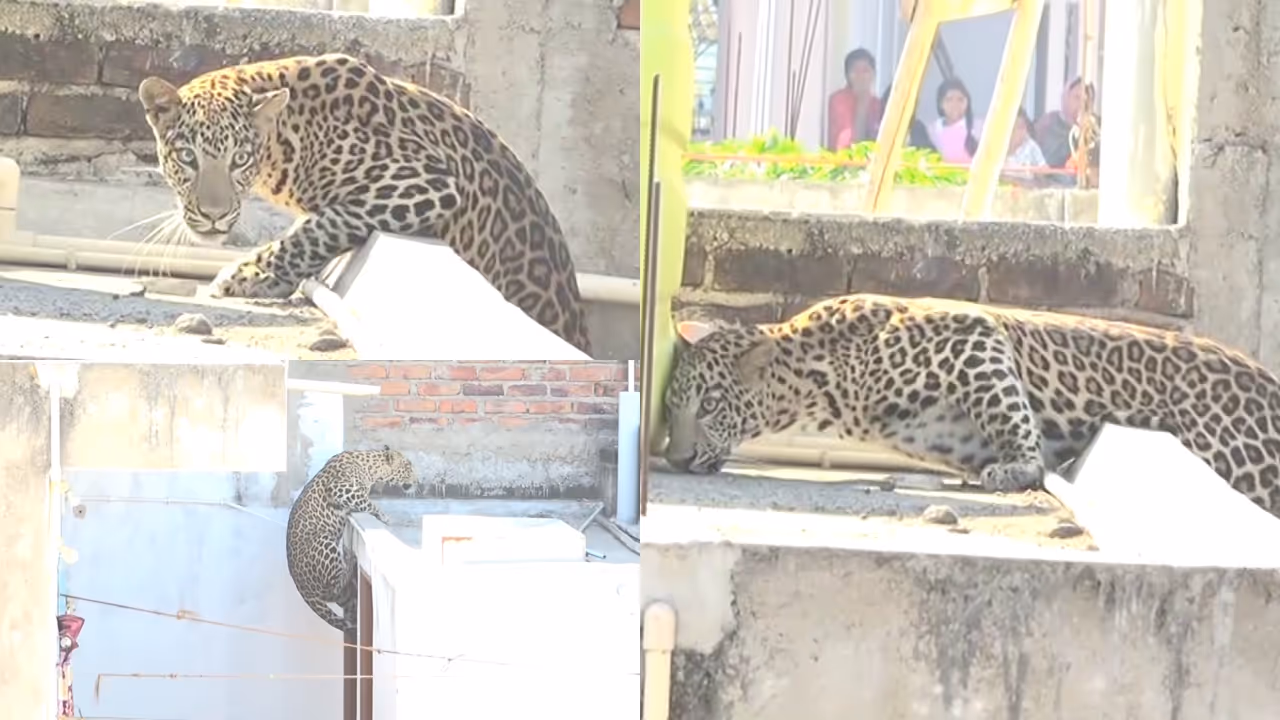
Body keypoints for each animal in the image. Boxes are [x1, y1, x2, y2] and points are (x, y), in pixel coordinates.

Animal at [136, 53, 592, 356]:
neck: (289, 137)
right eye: (187, 157)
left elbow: (322, 225)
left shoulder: (427, 182)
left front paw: (254, 274)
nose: (213, 215)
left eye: (240, 159)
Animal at [286, 446, 419, 632]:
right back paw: (348, 560)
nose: (418, 482)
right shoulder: (339, 488)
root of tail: (301, 587)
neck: (372, 468)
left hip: (344, 596)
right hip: (324, 541)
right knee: (333, 587)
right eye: (408, 467)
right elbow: (368, 502)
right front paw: (386, 518)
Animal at [664, 292, 1280, 518]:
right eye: (672, 409)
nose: (674, 459)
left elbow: (1012, 414)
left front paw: (1020, 469)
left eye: (710, 403)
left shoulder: (974, 334)